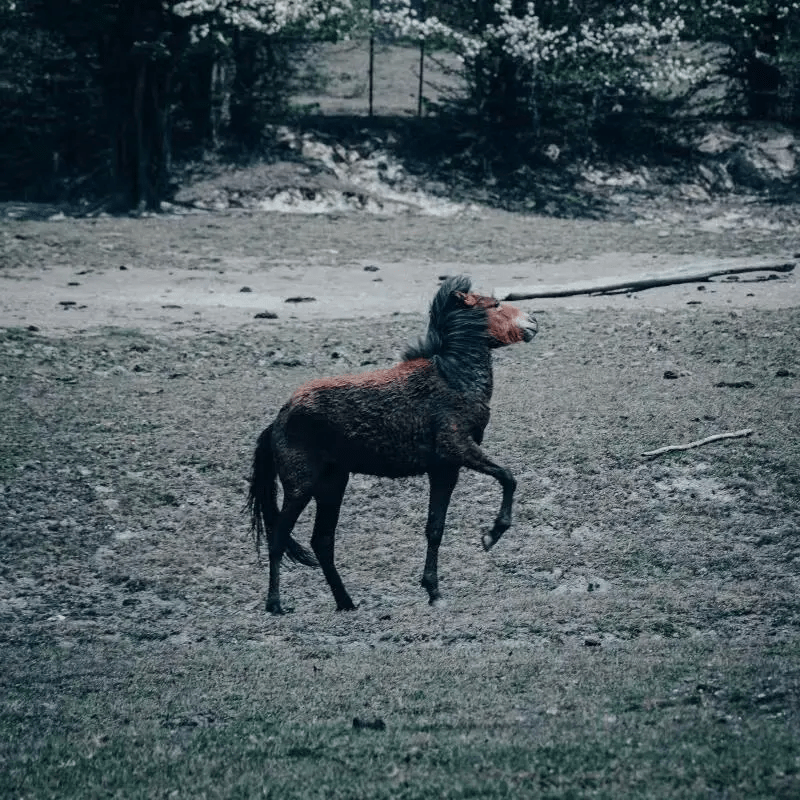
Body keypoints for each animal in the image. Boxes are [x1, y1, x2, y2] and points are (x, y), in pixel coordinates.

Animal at [248, 276, 536, 612]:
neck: (452, 377)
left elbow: (435, 528)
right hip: (300, 487)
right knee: (279, 537)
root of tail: (277, 421)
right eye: (496, 305)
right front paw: (491, 536)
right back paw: (276, 605)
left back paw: (346, 602)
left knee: (322, 542)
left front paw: (433, 591)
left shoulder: (445, 470)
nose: (533, 322)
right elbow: (508, 477)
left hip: (332, 485)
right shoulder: (458, 449)